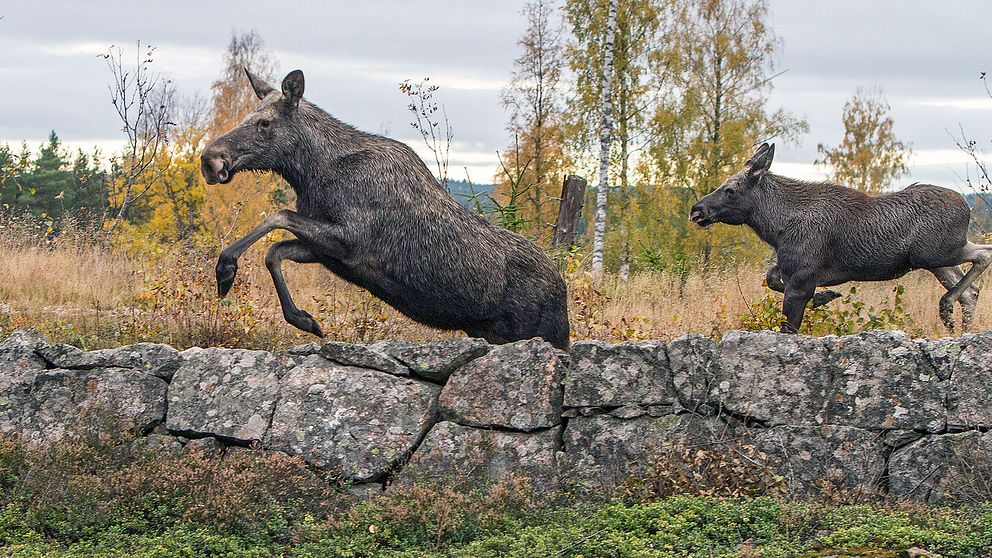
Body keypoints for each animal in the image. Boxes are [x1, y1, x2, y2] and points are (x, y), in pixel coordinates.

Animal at [199, 70, 568, 350]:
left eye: (264, 123)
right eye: (249, 116)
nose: (210, 158)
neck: (311, 174)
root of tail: (562, 289)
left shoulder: (350, 238)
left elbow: (278, 216)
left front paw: (225, 269)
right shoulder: (329, 249)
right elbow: (275, 251)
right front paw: (304, 319)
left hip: (541, 334)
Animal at [688, 144, 992, 336]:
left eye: (730, 189)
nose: (697, 210)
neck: (776, 227)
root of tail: (966, 208)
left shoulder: (801, 276)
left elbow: (789, 324)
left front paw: (823, 298)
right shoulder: (793, 271)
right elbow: (772, 278)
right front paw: (826, 297)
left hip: (938, 252)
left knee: (983, 254)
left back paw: (946, 307)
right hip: (934, 261)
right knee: (971, 291)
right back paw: (957, 328)